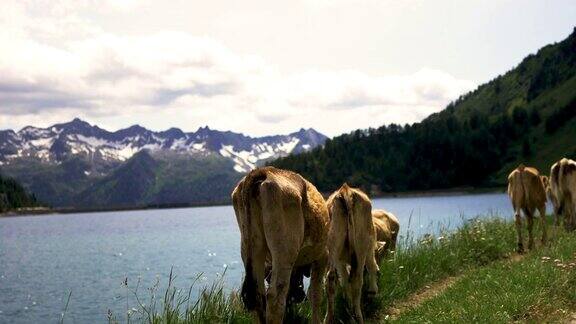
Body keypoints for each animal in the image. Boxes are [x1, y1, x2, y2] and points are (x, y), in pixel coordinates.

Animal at [230, 167, 328, 324]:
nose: (299, 297)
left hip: (250, 244)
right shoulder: (322, 255)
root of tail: (263, 171)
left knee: (258, 295)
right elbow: (316, 294)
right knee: (275, 297)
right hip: (285, 249)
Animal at [326, 184, 380, 322]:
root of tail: (346, 190)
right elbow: (372, 266)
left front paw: (347, 302)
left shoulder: (340, 261)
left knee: (331, 278)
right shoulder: (369, 249)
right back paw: (358, 316)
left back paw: (329, 318)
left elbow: (344, 280)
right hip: (361, 245)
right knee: (357, 279)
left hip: (332, 243)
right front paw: (373, 291)